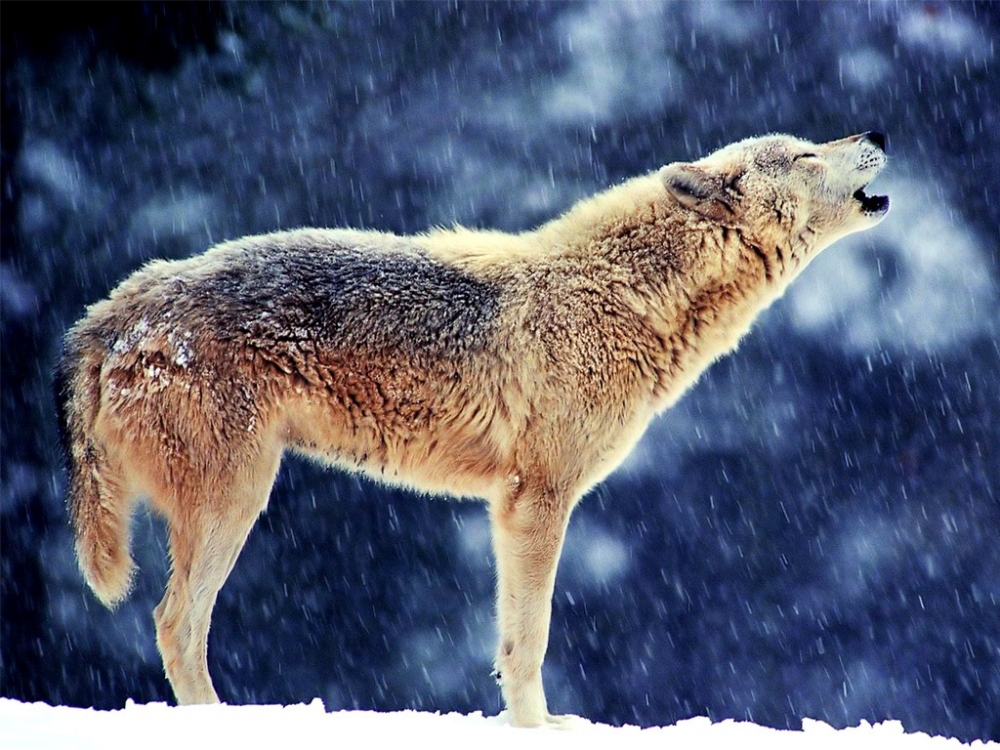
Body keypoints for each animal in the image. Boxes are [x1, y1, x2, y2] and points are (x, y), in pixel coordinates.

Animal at [60, 132, 892, 724]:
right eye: (807, 152)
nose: (878, 129)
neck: (625, 296)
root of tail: (116, 308)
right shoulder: (537, 501)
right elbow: (529, 641)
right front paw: (538, 729)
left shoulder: (512, 505)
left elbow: (511, 638)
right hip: (236, 500)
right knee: (175, 624)